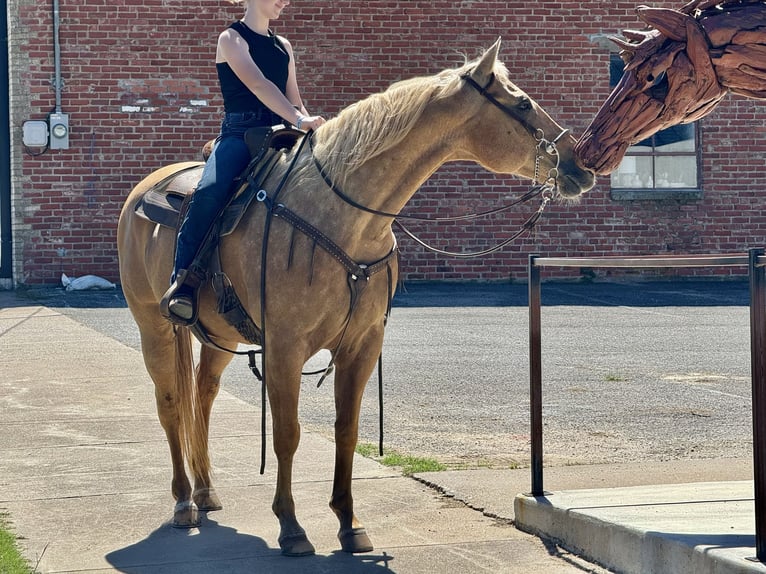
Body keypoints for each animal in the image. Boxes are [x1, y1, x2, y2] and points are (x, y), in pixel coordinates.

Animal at [117, 39, 596, 560]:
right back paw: (184, 501)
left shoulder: (361, 346)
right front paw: (291, 526)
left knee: (202, 395)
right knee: (170, 403)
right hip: (154, 327)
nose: (581, 162)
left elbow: (346, 431)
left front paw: (349, 523)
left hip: (219, 336)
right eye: (523, 103)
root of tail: (145, 191)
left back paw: (206, 491)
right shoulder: (285, 348)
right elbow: (288, 435)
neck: (345, 216)